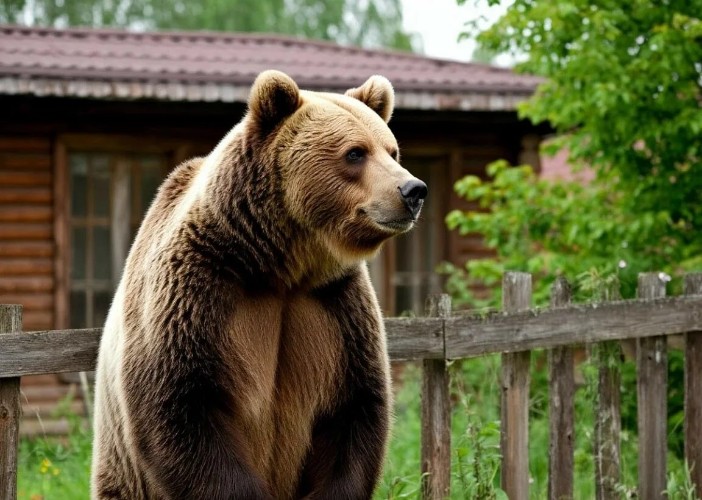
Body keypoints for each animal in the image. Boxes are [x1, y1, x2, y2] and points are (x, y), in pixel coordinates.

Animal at [90, 69, 427, 499]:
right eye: (355, 152)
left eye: (392, 150)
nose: (413, 190)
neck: (281, 267)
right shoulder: (199, 290)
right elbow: (183, 407)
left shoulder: (336, 309)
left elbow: (353, 411)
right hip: (122, 474)